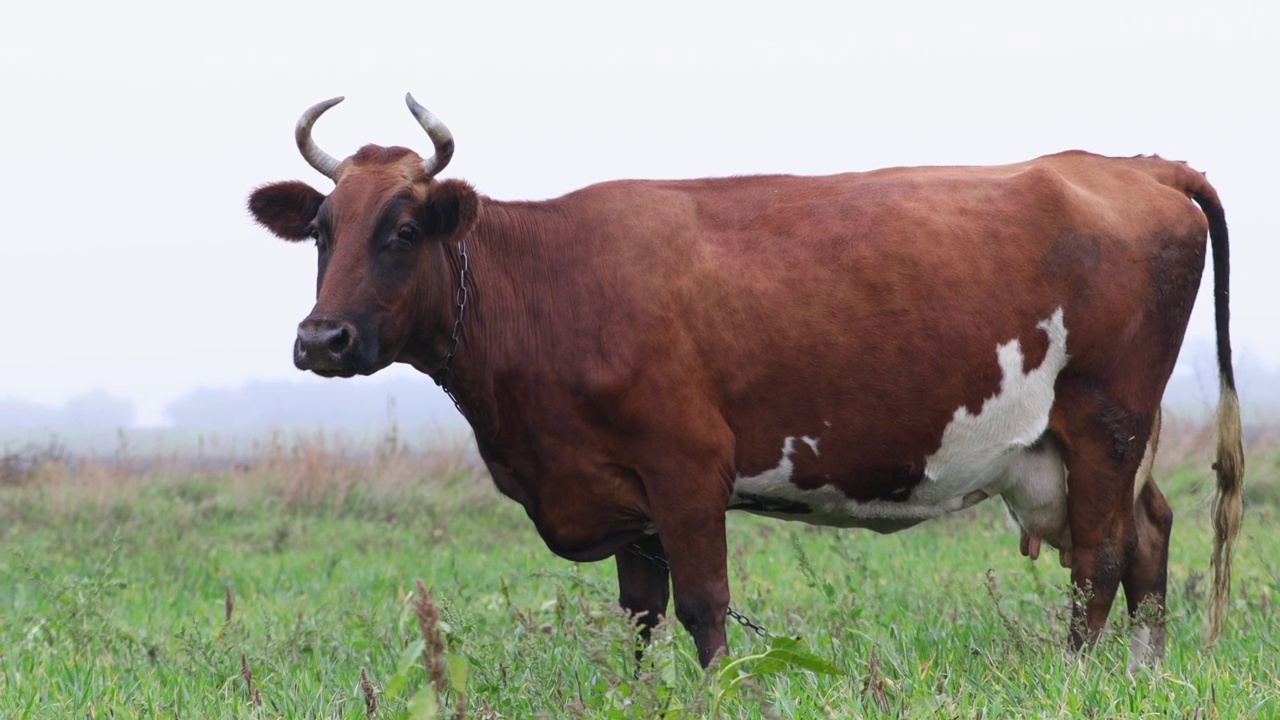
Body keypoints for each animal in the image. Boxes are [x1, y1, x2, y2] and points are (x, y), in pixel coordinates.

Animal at [247, 92, 1239, 666]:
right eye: (323, 231)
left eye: (404, 229)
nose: (321, 338)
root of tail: (1134, 165)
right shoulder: (625, 493)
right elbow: (640, 618)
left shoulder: (687, 470)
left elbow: (704, 609)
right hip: (1109, 441)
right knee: (1149, 535)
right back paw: (1144, 673)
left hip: (1105, 422)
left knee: (1100, 557)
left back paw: (1080, 675)